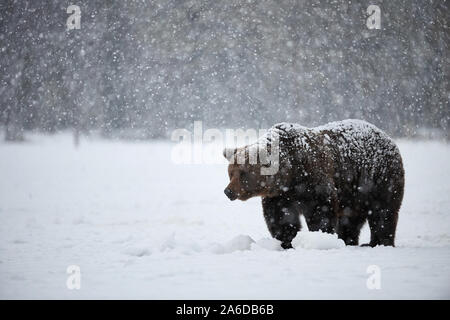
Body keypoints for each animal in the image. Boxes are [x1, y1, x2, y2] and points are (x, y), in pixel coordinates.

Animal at [224, 119, 404, 249]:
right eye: (230, 173)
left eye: (243, 173)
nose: (228, 191)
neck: (289, 173)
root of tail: (388, 138)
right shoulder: (280, 195)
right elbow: (281, 217)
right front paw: (286, 241)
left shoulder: (313, 180)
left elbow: (321, 210)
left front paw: (319, 236)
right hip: (354, 194)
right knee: (351, 219)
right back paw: (349, 240)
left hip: (378, 178)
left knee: (383, 212)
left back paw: (379, 242)